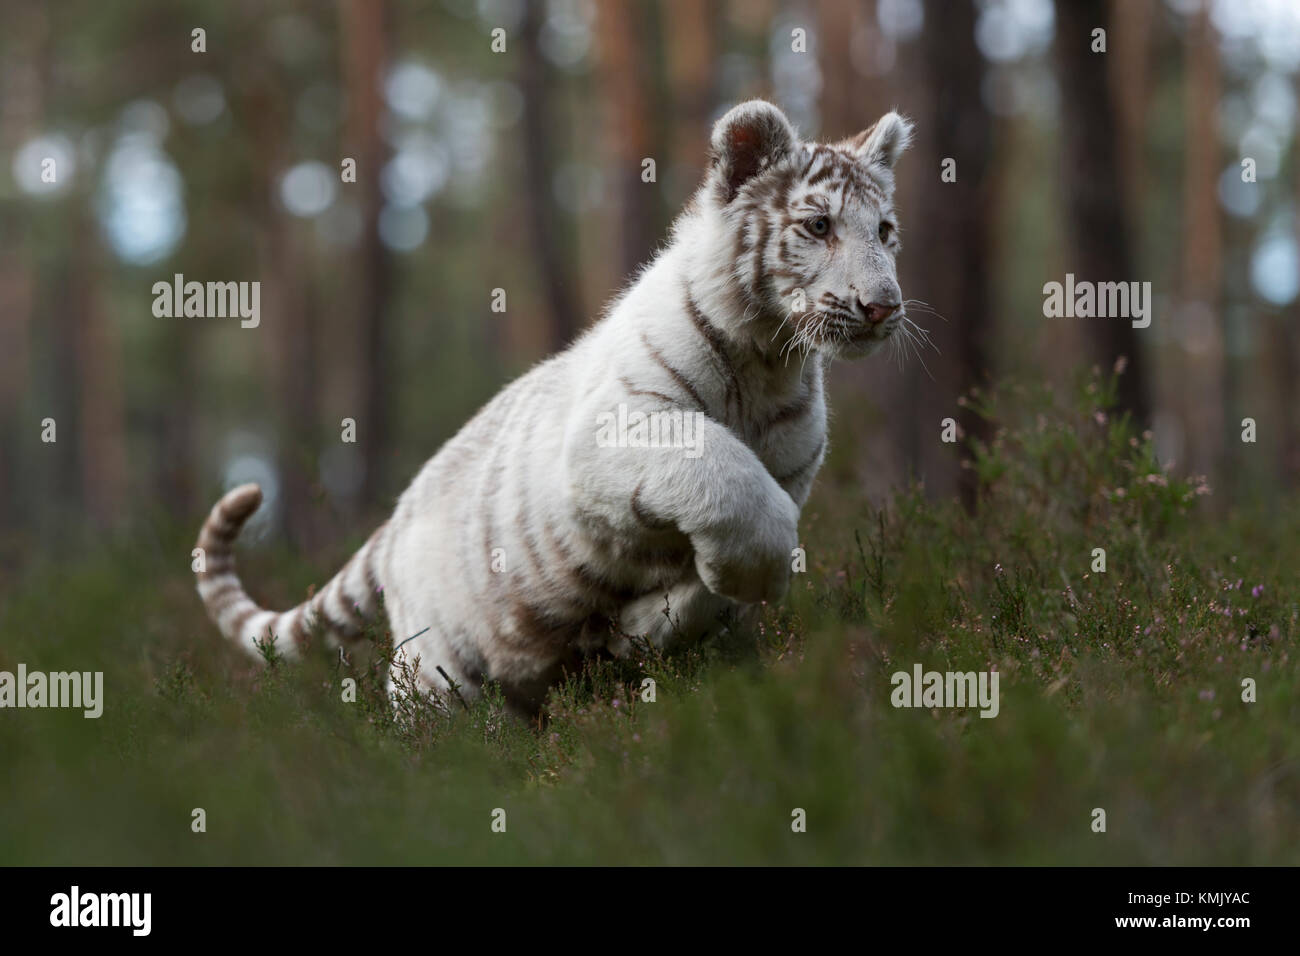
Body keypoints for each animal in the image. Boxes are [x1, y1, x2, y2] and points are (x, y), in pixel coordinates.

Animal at [200, 100, 915, 712]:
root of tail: (396, 519)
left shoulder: (790, 478)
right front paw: (749, 578)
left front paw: (644, 627)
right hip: (430, 665)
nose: (885, 307)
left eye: (885, 231)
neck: (768, 360)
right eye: (819, 225)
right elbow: (731, 481)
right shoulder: (615, 437)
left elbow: (708, 588)